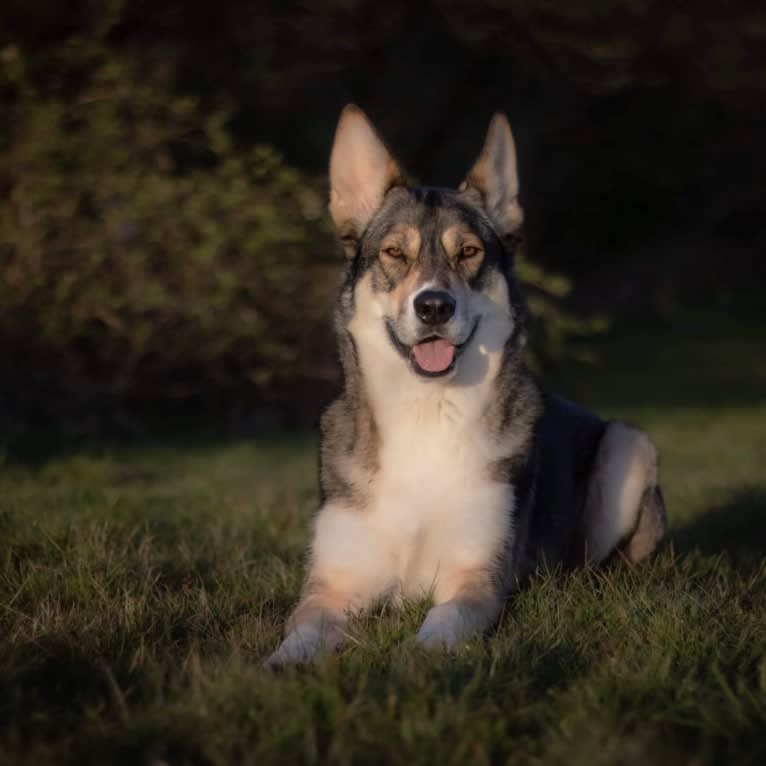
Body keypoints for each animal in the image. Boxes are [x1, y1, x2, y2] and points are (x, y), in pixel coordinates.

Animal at [266, 105, 664, 668]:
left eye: (469, 252)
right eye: (394, 252)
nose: (434, 306)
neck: (425, 413)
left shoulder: (474, 578)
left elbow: (442, 623)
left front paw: (421, 660)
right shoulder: (333, 584)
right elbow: (301, 632)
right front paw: (280, 666)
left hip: (629, 446)